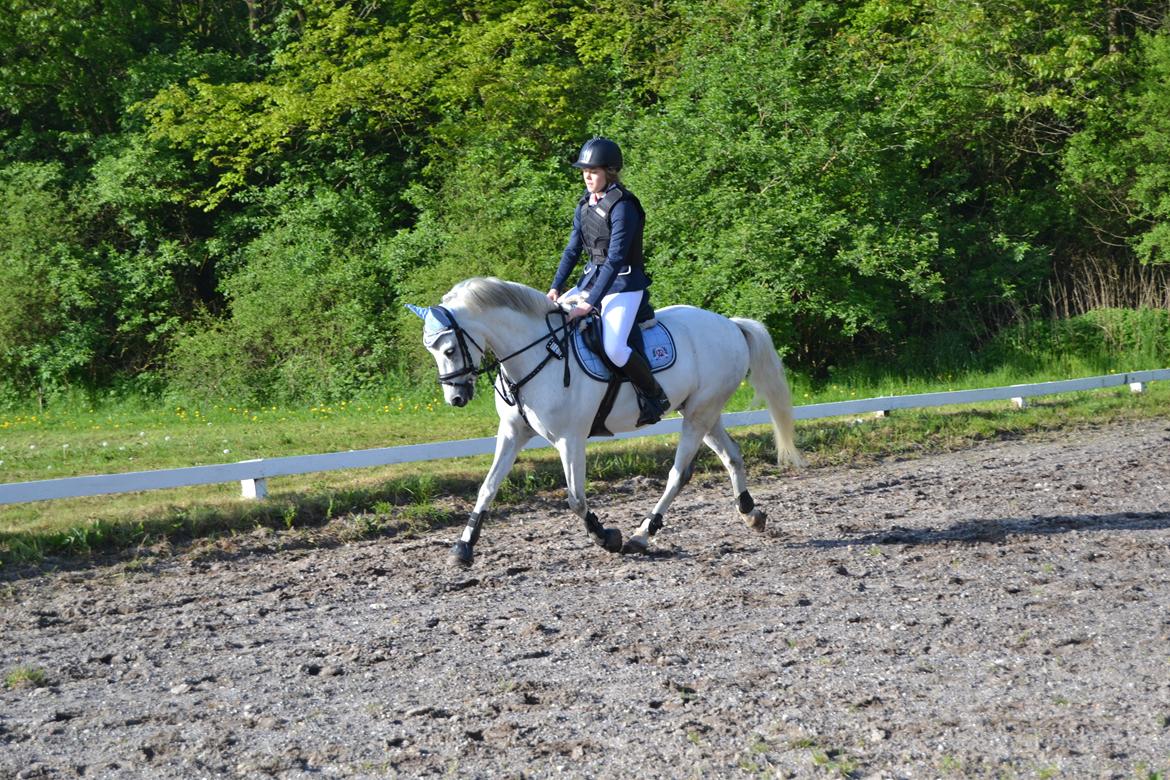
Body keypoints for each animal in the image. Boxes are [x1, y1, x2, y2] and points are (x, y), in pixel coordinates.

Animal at [407, 277, 804, 567]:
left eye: (449, 349)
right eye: (432, 351)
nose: (456, 398)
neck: (533, 355)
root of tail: (730, 324)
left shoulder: (570, 439)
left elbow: (575, 499)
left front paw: (607, 537)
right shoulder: (512, 434)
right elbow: (487, 488)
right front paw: (463, 548)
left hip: (698, 415)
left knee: (679, 474)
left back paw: (641, 535)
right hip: (701, 411)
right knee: (731, 455)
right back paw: (751, 513)